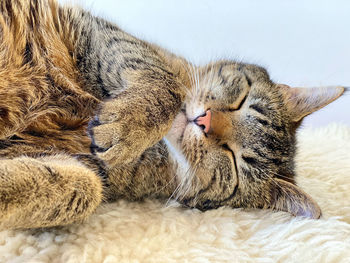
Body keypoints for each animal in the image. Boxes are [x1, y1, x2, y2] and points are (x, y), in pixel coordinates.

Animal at [0, 0, 344, 231]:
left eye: (234, 160)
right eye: (242, 100)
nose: (204, 121)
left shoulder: (91, 169)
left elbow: (82, 188)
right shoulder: (100, 34)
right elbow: (167, 84)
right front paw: (133, 121)